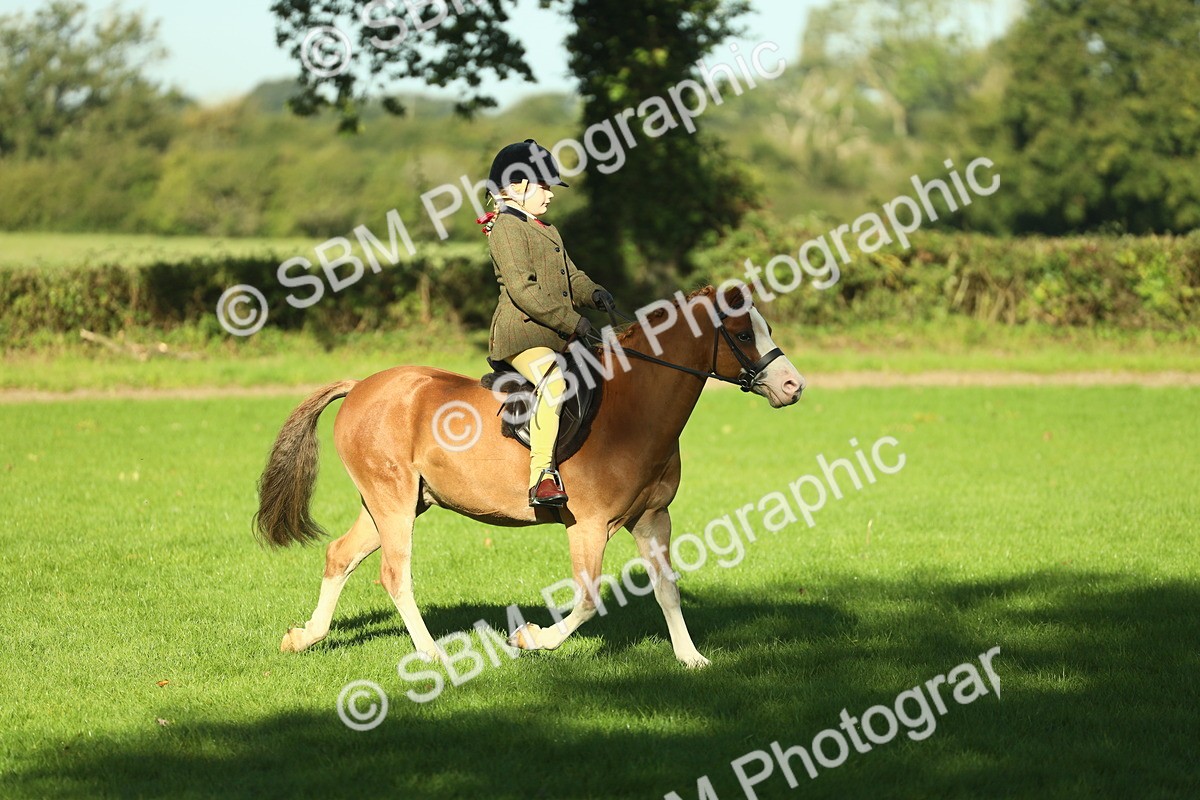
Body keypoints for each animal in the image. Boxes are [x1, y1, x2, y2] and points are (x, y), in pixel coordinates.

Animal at [254, 284, 805, 668]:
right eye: (742, 333)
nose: (793, 387)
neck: (633, 408)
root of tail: (362, 386)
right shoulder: (589, 526)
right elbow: (588, 600)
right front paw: (532, 637)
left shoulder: (652, 518)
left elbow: (666, 587)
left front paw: (691, 658)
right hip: (393, 502)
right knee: (394, 574)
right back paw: (433, 655)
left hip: (399, 503)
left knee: (339, 556)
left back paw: (304, 637)